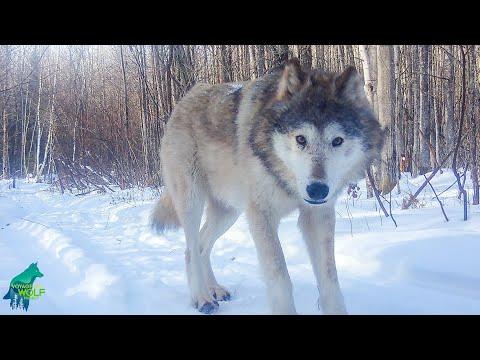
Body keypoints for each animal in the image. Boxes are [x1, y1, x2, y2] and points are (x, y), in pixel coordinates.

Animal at [152, 57, 384, 314]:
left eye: (337, 141)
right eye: (300, 139)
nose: (317, 190)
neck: (286, 181)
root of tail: (189, 95)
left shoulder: (318, 215)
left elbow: (330, 280)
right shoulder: (261, 216)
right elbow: (280, 277)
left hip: (228, 213)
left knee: (203, 245)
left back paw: (215, 289)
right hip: (193, 202)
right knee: (190, 250)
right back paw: (202, 298)